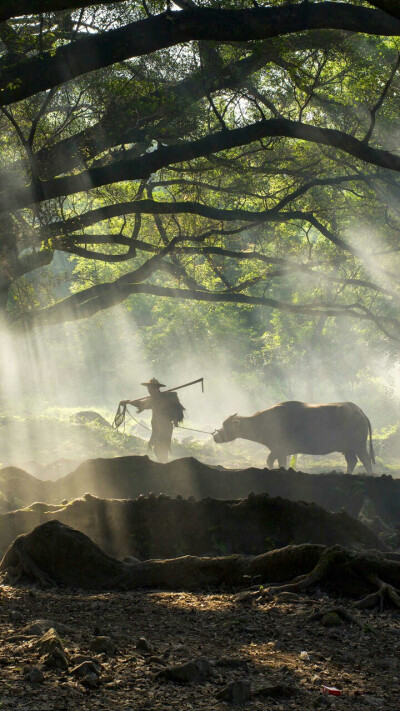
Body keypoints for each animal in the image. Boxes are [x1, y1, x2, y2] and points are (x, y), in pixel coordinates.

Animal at [214, 400, 374, 472]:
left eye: (226, 425)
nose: (215, 436)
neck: (263, 422)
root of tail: (358, 410)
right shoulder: (281, 452)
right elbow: (276, 462)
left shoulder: (279, 450)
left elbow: (271, 461)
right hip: (348, 448)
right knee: (352, 461)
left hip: (359, 445)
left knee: (366, 460)